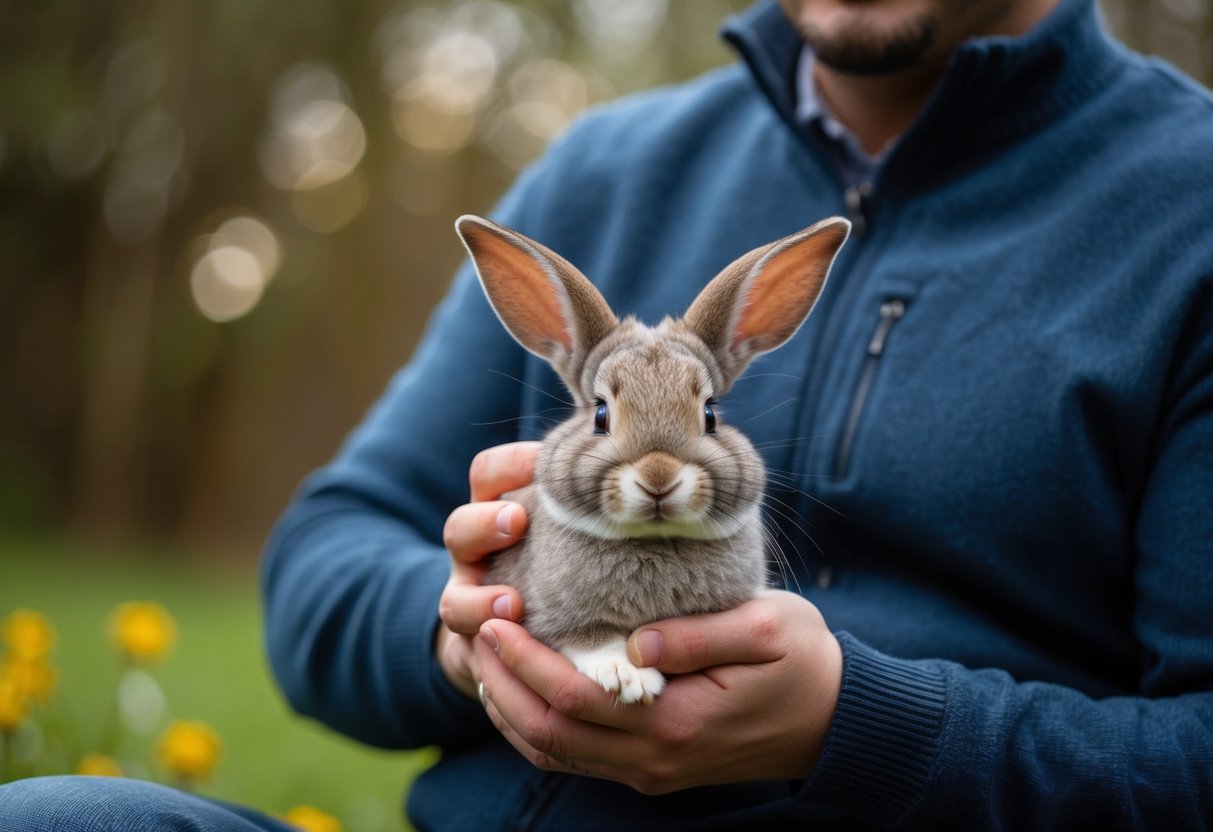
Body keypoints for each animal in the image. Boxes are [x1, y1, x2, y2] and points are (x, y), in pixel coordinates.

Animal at [454, 214, 850, 704]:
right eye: (600, 415)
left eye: (710, 414)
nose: (658, 477)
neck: (654, 539)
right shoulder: (551, 614)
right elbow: (589, 638)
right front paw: (628, 679)